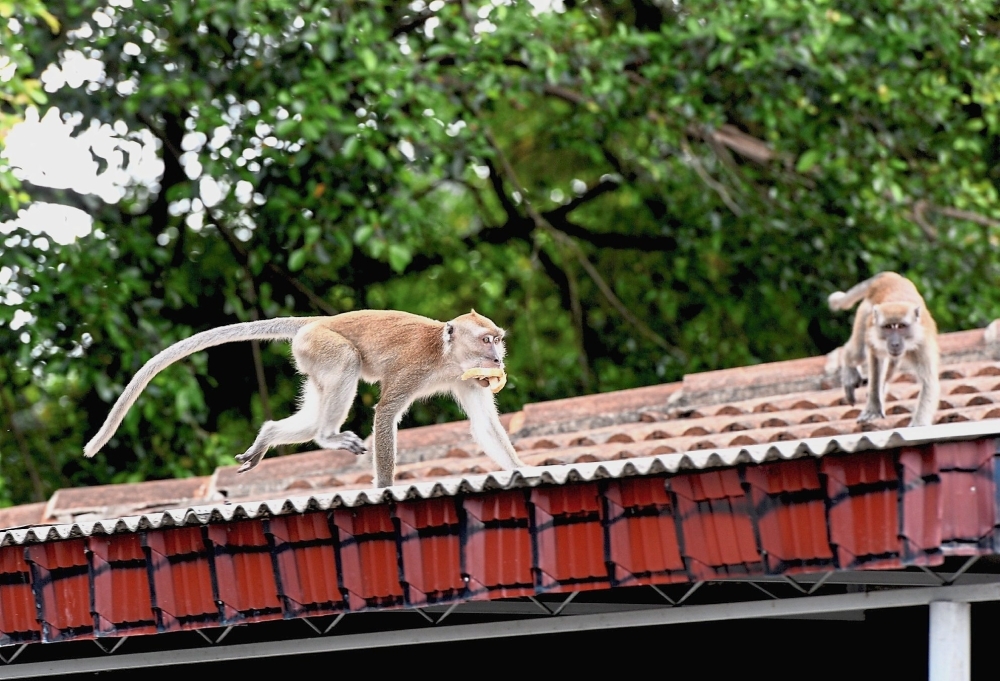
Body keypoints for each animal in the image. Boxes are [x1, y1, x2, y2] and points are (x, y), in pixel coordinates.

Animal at [86, 308, 528, 488]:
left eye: (498, 340)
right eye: (486, 340)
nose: (499, 358)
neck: (447, 356)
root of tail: (320, 321)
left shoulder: (470, 379)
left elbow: (484, 426)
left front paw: (521, 468)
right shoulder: (415, 366)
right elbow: (385, 413)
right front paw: (385, 486)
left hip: (312, 357)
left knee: (315, 407)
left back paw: (268, 436)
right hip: (324, 346)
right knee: (347, 363)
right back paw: (328, 435)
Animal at [828, 270, 936, 424]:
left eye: (901, 326)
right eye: (888, 327)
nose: (895, 343)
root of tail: (891, 277)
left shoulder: (922, 344)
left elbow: (928, 381)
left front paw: (918, 424)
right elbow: (875, 365)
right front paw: (873, 409)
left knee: (891, 366)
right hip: (865, 313)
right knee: (858, 354)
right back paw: (849, 367)